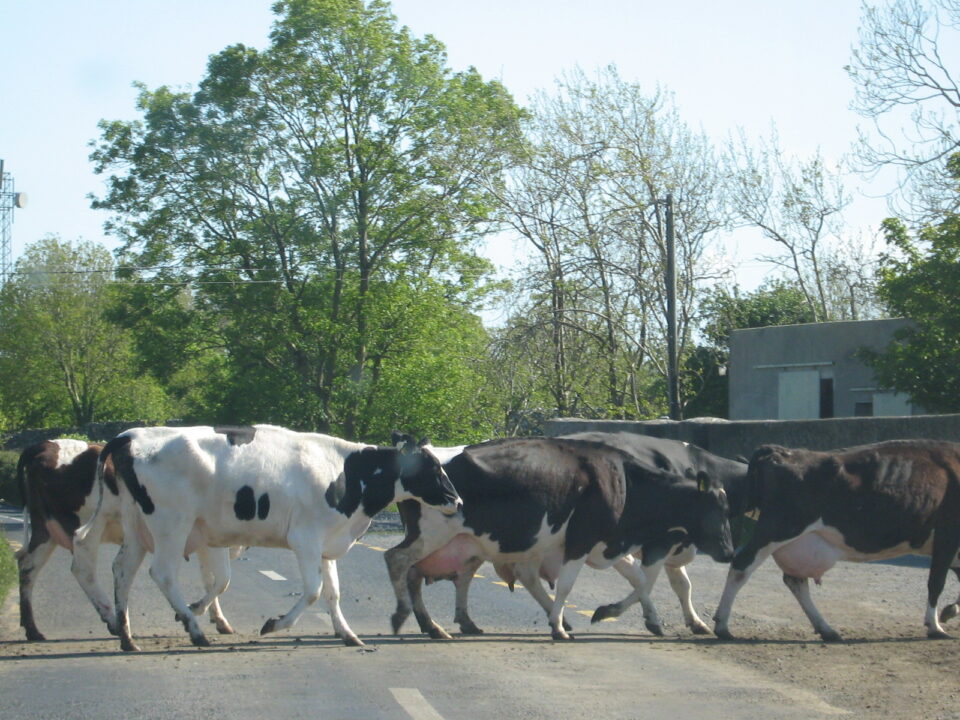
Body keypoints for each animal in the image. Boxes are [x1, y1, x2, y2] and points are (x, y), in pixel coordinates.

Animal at [15, 438, 234, 640]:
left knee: (28, 567)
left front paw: (218, 619)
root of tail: (45, 445)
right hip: (86, 522)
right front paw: (195, 610)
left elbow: (210, 579)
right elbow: (222, 579)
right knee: (82, 568)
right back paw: (114, 621)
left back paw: (33, 630)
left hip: (46, 529)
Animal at [74, 422, 458, 652]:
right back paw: (194, 629)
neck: (347, 473)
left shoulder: (326, 543)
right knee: (162, 573)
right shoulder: (305, 539)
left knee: (122, 569)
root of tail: (129, 436)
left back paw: (127, 636)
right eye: (432, 467)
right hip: (171, 523)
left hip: (135, 525)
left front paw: (349, 634)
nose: (457, 500)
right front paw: (274, 624)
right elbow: (314, 591)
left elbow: (333, 593)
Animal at [352, 436, 736, 640]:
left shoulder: (607, 544)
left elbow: (640, 580)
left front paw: (637, 617)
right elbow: (567, 584)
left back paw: (441, 625)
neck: (622, 479)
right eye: (720, 511)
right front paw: (559, 627)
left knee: (433, 574)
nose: (730, 552)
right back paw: (409, 618)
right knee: (398, 561)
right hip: (433, 533)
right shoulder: (581, 540)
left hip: (461, 542)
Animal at [712, 438, 960, 640]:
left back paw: (826, 629)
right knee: (742, 565)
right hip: (778, 528)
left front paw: (950, 611)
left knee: (795, 581)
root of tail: (781, 451)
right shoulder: (947, 537)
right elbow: (936, 582)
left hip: (795, 540)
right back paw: (722, 625)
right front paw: (935, 626)